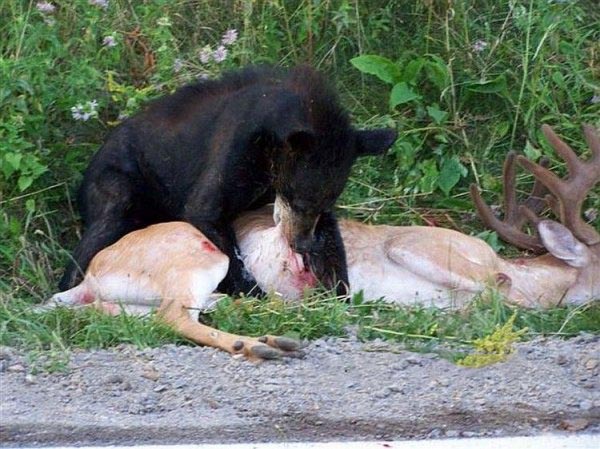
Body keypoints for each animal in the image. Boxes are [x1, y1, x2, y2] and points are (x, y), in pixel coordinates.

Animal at [59, 64, 398, 294]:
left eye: (329, 199)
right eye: (297, 198)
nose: (302, 244)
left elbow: (331, 236)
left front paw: (339, 288)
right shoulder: (235, 150)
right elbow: (208, 215)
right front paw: (254, 294)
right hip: (118, 183)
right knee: (101, 228)